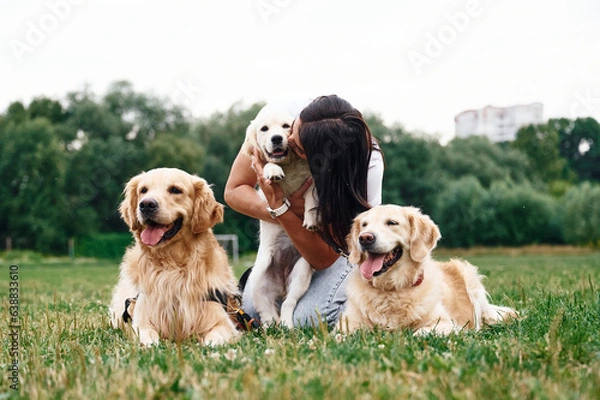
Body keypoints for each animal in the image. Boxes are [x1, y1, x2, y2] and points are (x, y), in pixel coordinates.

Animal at [109, 167, 240, 346]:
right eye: (143, 190)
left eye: (175, 190)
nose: (146, 204)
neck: (172, 265)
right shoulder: (143, 320)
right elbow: (148, 338)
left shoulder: (221, 321)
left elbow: (214, 339)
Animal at [241, 107, 322, 328]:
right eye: (264, 129)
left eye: (286, 126)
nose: (276, 138)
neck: (288, 165)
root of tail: (282, 283)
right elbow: (268, 166)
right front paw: (273, 171)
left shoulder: (311, 178)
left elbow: (312, 197)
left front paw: (311, 219)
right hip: (258, 280)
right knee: (267, 313)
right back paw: (271, 328)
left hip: (301, 274)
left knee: (287, 304)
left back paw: (287, 326)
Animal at [340, 206, 516, 334]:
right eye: (364, 225)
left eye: (392, 222)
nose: (364, 238)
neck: (391, 289)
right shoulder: (346, 324)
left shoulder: (444, 323)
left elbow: (419, 333)